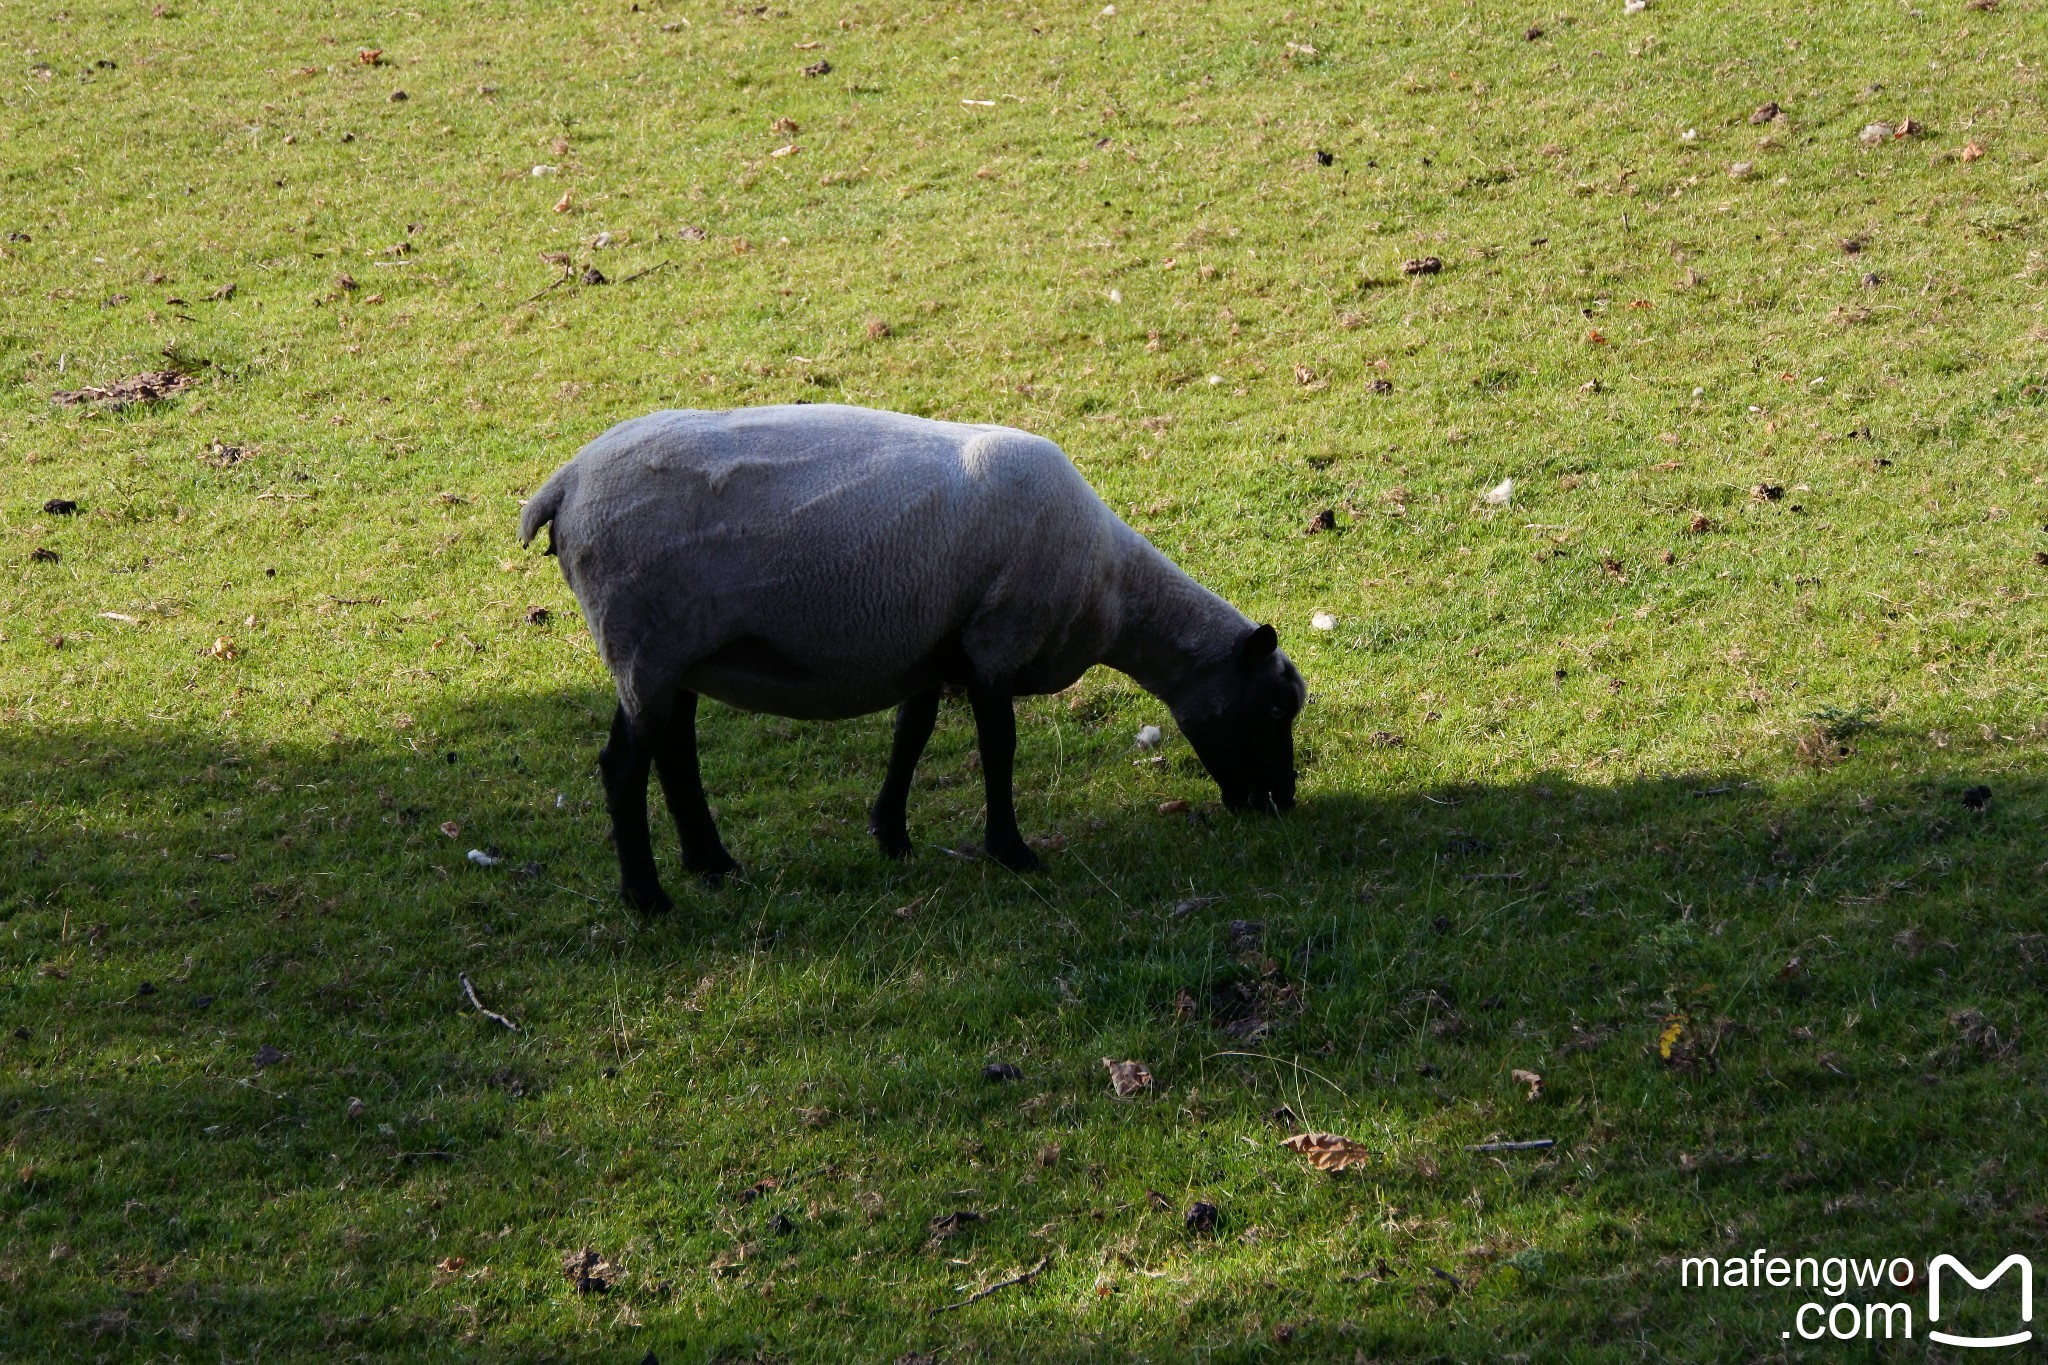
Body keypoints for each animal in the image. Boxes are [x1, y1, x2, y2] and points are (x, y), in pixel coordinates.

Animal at [520, 405, 1302, 916]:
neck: (1110, 592)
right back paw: (647, 896)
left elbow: (911, 736)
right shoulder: (996, 641)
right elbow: (998, 746)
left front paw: (890, 834)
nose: (1282, 804)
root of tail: (565, 485)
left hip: (673, 650)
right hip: (642, 641)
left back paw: (712, 864)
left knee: (674, 752)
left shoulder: (935, 650)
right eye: (1272, 709)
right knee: (624, 765)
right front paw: (1011, 850)